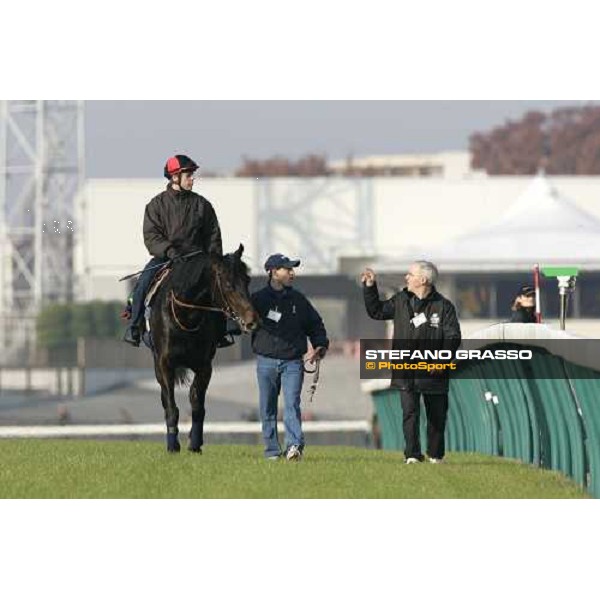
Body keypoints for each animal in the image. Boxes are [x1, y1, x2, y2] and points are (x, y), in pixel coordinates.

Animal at [149, 244, 258, 450]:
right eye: (228, 284)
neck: (186, 317)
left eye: (247, 280)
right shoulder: (165, 364)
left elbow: (197, 404)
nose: (252, 321)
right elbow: (171, 406)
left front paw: (195, 443)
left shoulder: (204, 366)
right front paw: (173, 446)